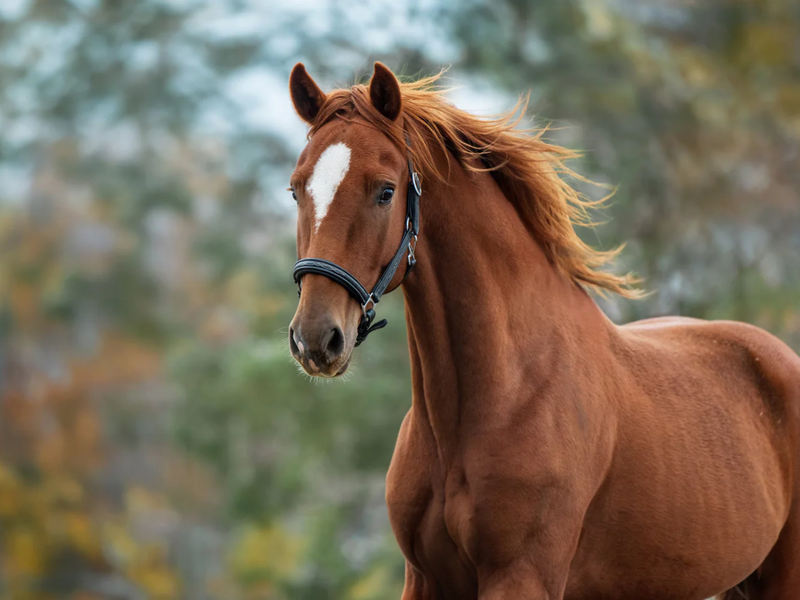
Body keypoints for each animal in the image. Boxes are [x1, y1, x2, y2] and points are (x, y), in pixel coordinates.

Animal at [286, 61, 800, 600]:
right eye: (296, 189)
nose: (315, 339)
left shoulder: (521, 576)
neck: (503, 392)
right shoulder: (425, 579)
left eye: (385, 191)